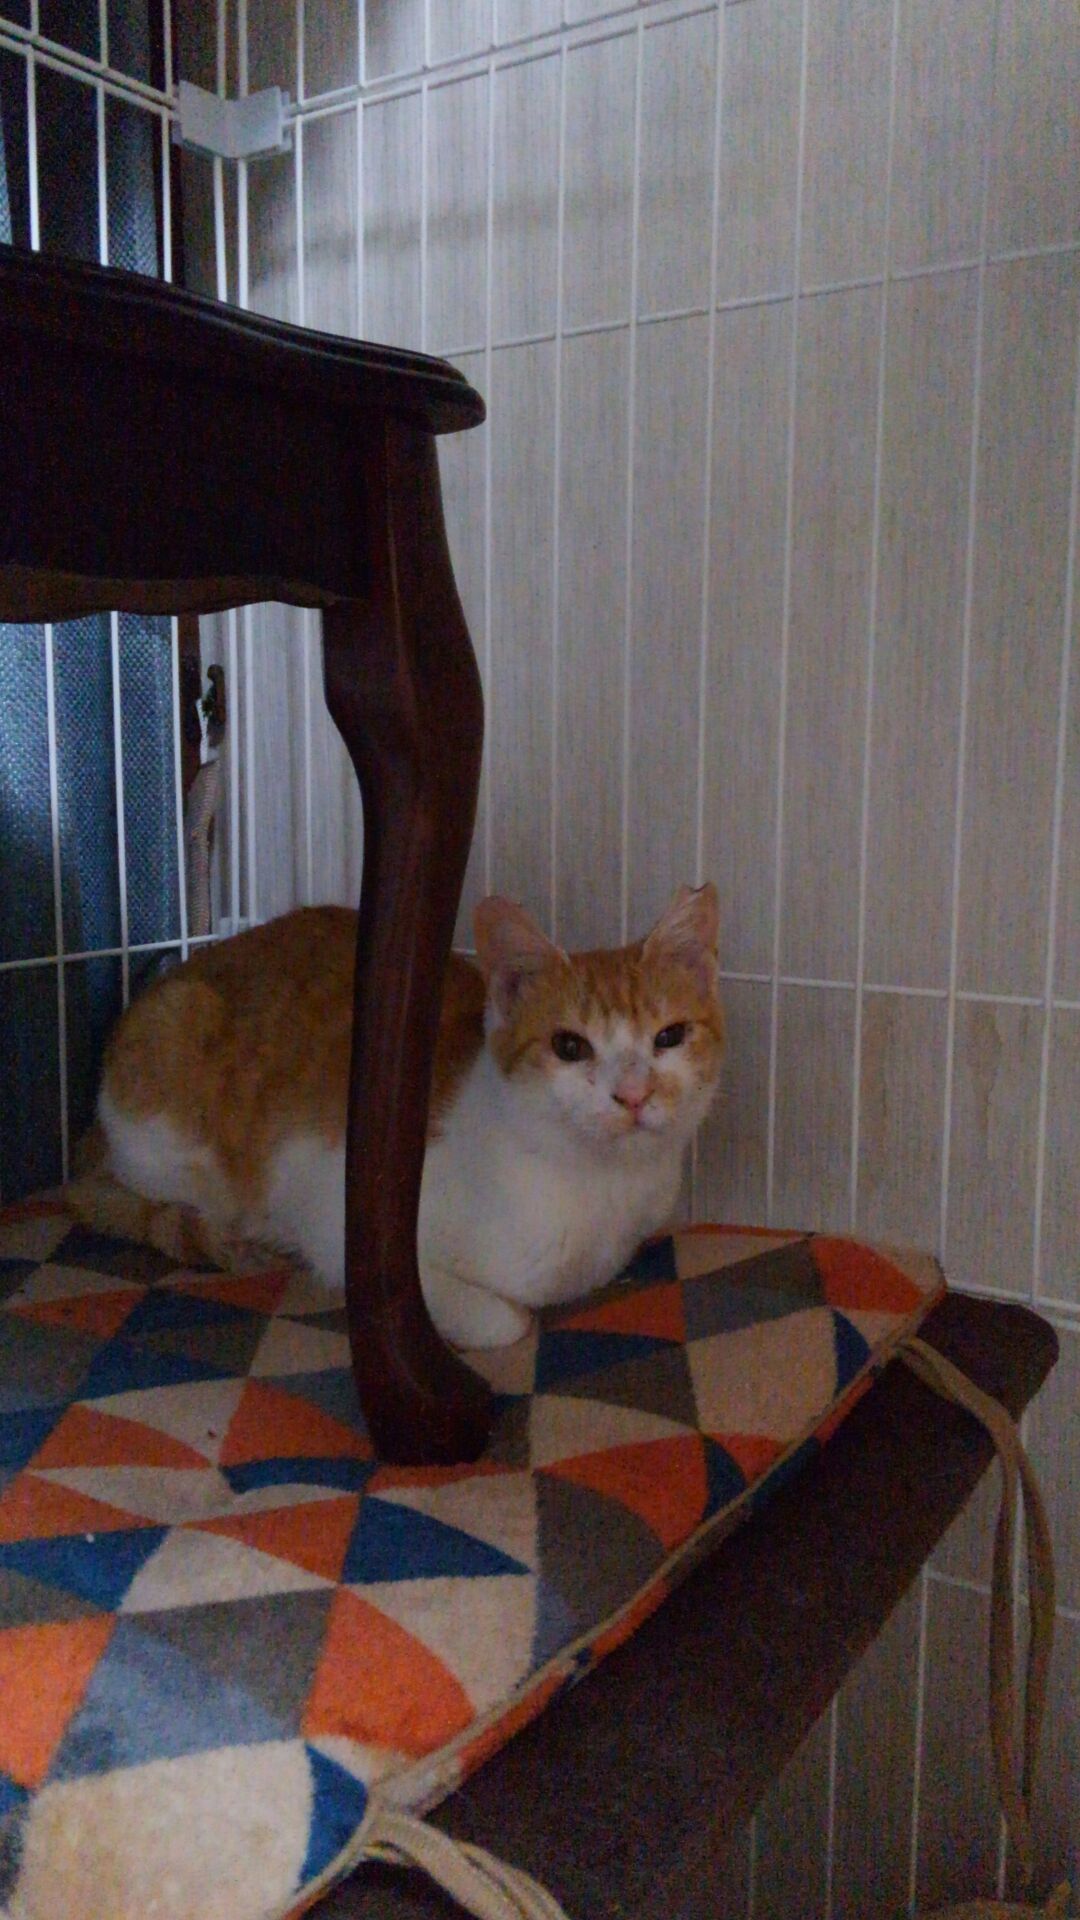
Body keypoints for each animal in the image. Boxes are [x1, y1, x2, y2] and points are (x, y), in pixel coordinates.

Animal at [88, 884, 725, 1349]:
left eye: (669, 1037)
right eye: (570, 1047)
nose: (635, 1094)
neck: (603, 1189)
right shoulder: (347, 1227)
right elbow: (505, 1321)